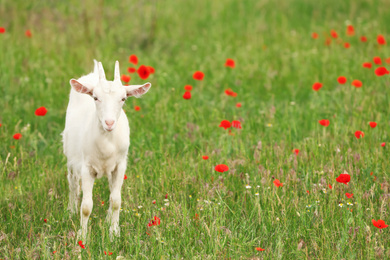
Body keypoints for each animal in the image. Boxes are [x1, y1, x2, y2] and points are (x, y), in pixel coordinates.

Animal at [62, 59, 151, 240]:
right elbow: (86, 206)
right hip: (71, 155)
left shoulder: (120, 166)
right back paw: (71, 210)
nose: (109, 123)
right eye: (95, 98)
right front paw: (82, 237)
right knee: (72, 182)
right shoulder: (87, 167)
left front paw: (114, 232)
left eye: (123, 98)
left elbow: (116, 200)